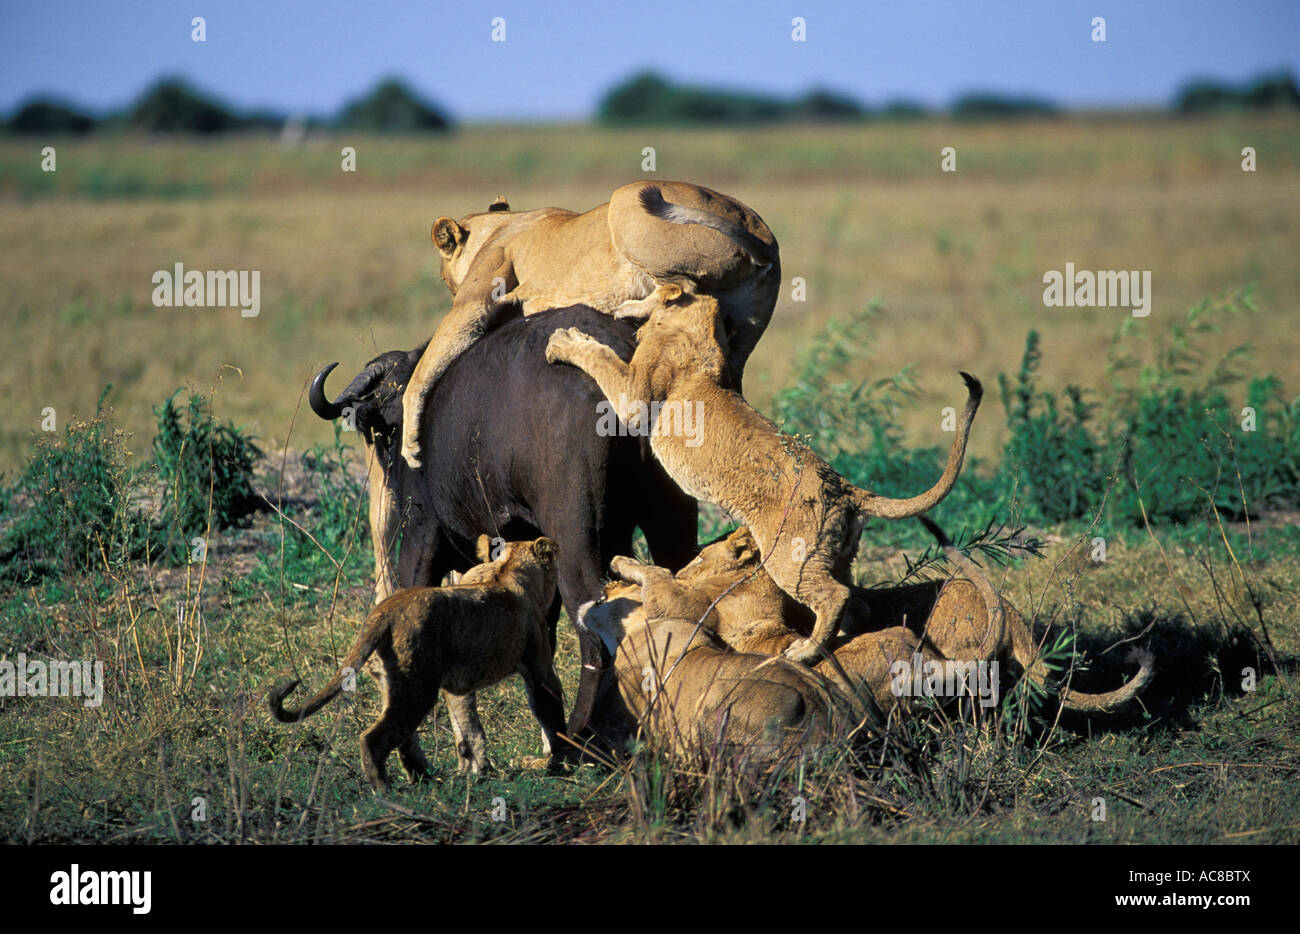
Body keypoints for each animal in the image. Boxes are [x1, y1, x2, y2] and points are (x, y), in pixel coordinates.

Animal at [265, 538, 564, 796]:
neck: (508, 568)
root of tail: (382, 613)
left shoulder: (457, 685)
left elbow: (469, 728)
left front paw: (477, 771)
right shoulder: (539, 669)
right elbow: (551, 714)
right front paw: (563, 762)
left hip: (399, 687)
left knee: (403, 739)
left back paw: (425, 779)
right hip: (416, 690)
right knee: (373, 739)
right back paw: (385, 792)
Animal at [400, 183, 774, 470]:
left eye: (442, 275)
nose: (448, 288)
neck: (500, 224)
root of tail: (763, 234)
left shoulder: (474, 303)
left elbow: (421, 374)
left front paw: (410, 446)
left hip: (626, 201)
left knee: (683, 286)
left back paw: (625, 307)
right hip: (739, 343)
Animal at [543, 288, 977, 671]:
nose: (620, 304)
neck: (698, 324)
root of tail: (845, 489)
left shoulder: (635, 396)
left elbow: (601, 358)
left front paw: (564, 341)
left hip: (789, 557)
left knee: (834, 596)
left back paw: (803, 652)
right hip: (835, 556)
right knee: (858, 602)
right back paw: (828, 643)